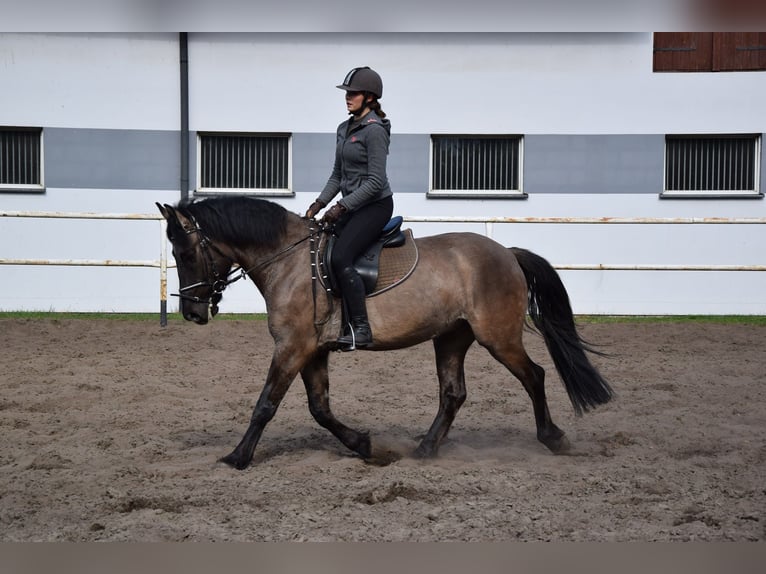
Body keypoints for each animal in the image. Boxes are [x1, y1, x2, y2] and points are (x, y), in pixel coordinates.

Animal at [157, 195, 613, 470]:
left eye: (185, 253)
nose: (192, 313)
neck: (288, 261)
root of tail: (508, 254)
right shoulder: (312, 350)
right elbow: (319, 408)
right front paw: (364, 445)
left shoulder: (292, 347)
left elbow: (266, 404)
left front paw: (237, 456)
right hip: (451, 337)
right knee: (453, 393)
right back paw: (425, 450)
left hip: (498, 338)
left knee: (534, 376)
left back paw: (553, 438)